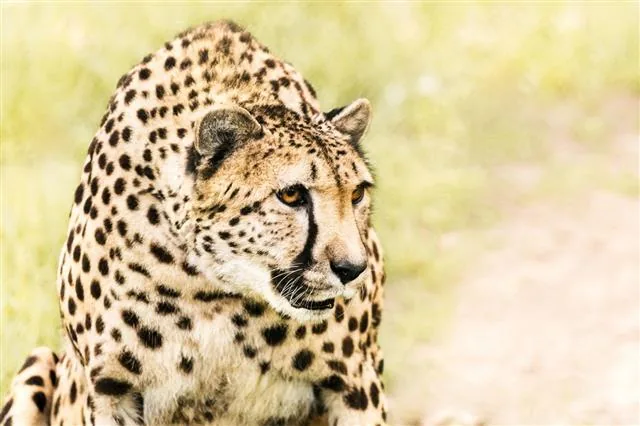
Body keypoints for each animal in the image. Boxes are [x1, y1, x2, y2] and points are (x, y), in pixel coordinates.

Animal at [1, 20, 387, 426]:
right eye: (292, 195)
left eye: (357, 193)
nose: (352, 269)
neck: (214, 289)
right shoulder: (108, 390)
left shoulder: (355, 380)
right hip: (39, 361)